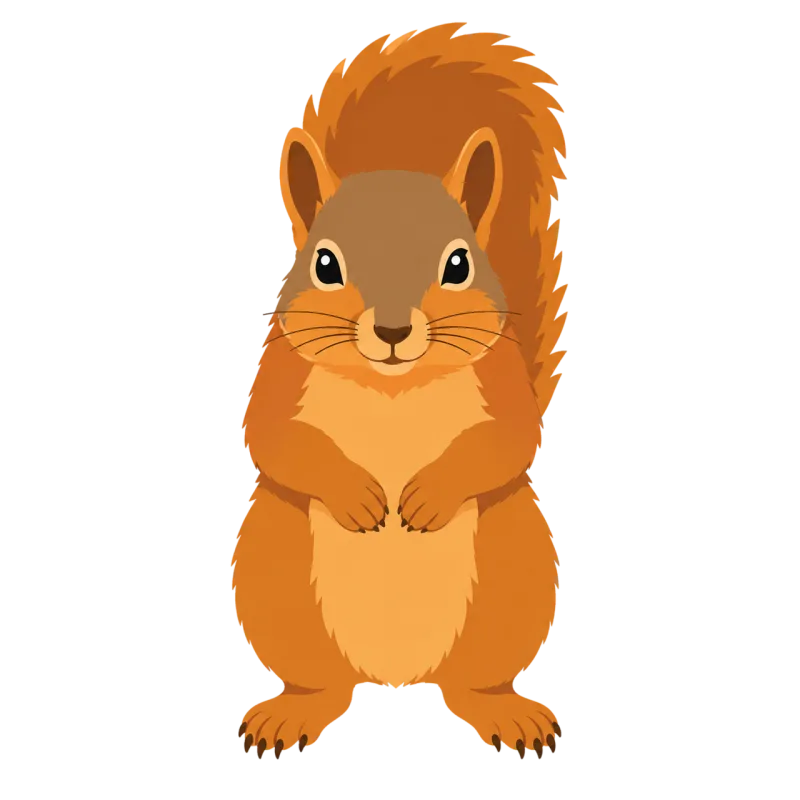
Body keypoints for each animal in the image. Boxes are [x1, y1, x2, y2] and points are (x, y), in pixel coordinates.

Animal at [234, 21, 567, 758]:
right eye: (324, 264)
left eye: (459, 264)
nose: (391, 330)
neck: (393, 387)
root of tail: (397, 680)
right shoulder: (280, 369)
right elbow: (269, 433)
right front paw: (358, 495)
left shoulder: (501, 373)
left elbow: (512, 435)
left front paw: (429, 495)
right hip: (277, 596)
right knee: (321, 680)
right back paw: (292, 714)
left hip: (513, 593)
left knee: (474, 682)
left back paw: (506, 715)